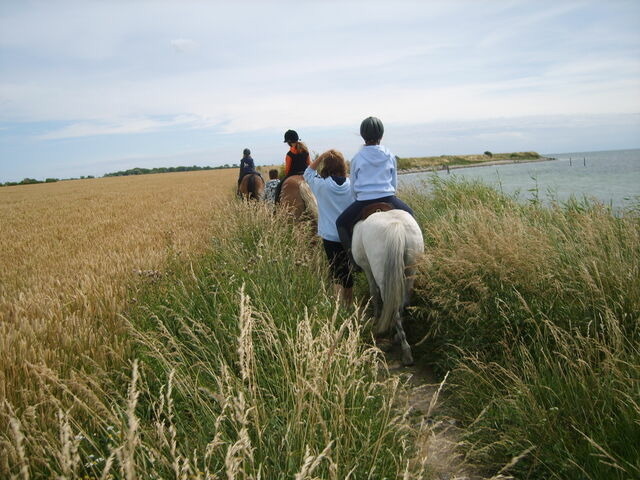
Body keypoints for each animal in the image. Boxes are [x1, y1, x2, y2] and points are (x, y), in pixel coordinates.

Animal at [350, 207, 424, 368]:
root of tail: (397, 227)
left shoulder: (367, 268)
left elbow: (373, 291)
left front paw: (376, 315)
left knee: (394, 307)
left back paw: (406, 352)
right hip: (410, 272)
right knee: (403, 303)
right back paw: (397, 336)